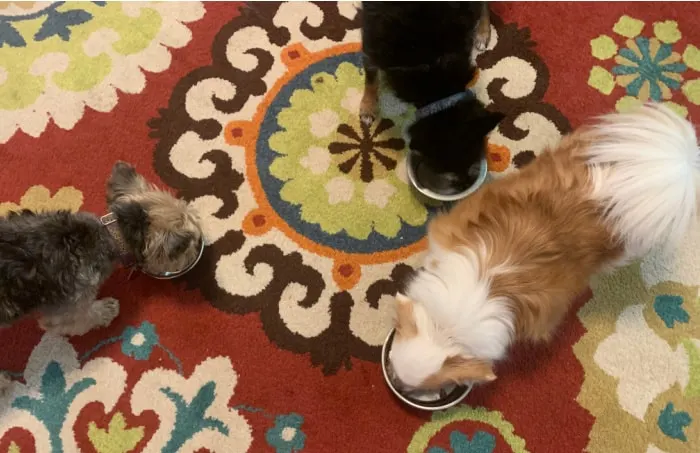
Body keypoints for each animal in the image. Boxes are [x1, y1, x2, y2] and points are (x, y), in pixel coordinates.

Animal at [360, 2, 504, 195]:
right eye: (445, 170)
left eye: (472, 162)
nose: (465, 185)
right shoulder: (372, 40)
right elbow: (371, 77)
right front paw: (367, 106)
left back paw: (482, 31)